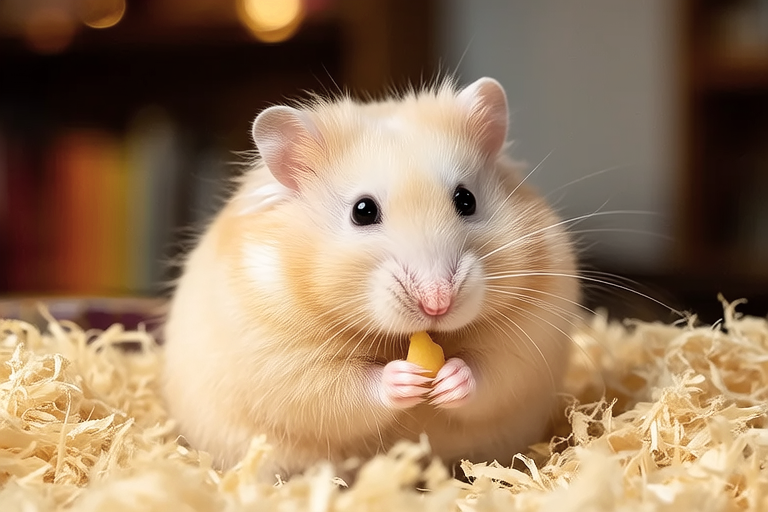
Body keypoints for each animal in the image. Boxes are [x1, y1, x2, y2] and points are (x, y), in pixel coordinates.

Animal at [161, 77, 581, 480]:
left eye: (466, 200)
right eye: (362, 211)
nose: (437, 302)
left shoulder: (529, 335)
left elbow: (491, 374)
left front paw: (450, 379)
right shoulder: (282, 356)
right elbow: (342, 390)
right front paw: (404, 378)